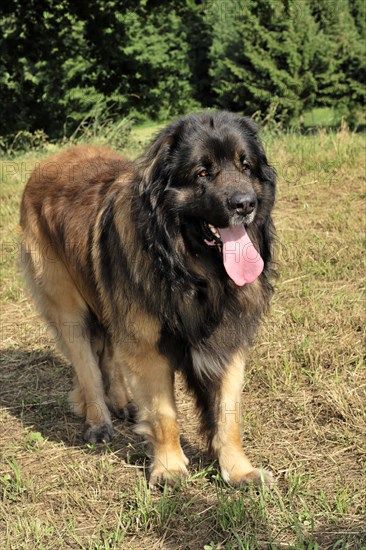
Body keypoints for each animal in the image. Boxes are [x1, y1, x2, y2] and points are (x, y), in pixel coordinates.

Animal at [20, 111, 276, 488]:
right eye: (202, 172)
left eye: (246, 166)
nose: (245, 205)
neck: (188, 269)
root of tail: (50, 161)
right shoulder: (149, 347)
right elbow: (163, 414)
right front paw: (169, 469)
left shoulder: (228, 339)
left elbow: (228, 415)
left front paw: (238, 470)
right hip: (68, 309)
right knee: (87, 368)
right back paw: (98, 421)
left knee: (109, 355)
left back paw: (122, 402)